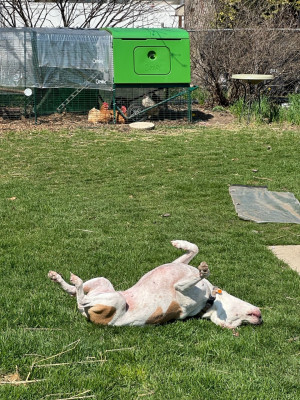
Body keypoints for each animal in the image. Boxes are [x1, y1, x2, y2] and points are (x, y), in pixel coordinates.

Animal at [48, 241, 262, 328]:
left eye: (237, 323)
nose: (259, 320)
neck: (210, 299)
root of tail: (88, 316)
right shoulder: (179, 263)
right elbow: (194, 249)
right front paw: (180, 244)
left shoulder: (180, 291)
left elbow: (186, 281)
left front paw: (202, 271)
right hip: (103, 282)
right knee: (75, 293)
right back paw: (60, 279)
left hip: (114, 301)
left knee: (80, 299)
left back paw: (74, 282)